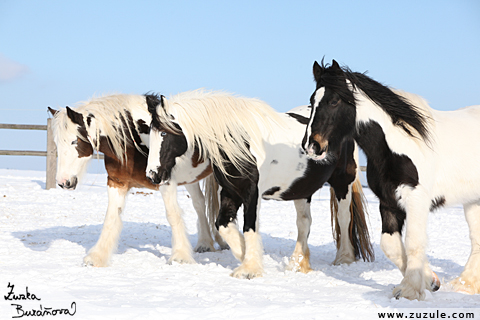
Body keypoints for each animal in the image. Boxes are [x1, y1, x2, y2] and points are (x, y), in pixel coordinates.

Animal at [48, 94, 227, 268]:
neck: (134, 140)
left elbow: (173, 215)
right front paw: (97, 257)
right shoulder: (117, 183)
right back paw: (205, 243)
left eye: (75, 141)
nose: (63, 182)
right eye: (56, 142)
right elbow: (110, 217)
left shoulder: (165, 181)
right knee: (200, 203)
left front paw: (180, 257)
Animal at [144, 89, 374, 278]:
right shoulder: (230, 191)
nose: (152, 175)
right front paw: (244, 254)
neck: (241, 142)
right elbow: (223, 225)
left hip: (343, 183)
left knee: (344, 218)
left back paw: (343, 259)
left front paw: (250, 269)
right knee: (304, 223)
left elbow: (249, 227)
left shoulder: (251, 194)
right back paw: (297, 264)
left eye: (163, 132)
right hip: (301, 188)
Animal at [304, 59, 480, 300]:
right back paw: (466, 284)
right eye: (311, 101)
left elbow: (413, 242)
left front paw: (410, 291)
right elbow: (390, 245)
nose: (312, 146)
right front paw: (429, 281)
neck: (401, 144)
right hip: (472, 201)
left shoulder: (416, 201)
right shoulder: (388, 202)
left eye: (333, 101)